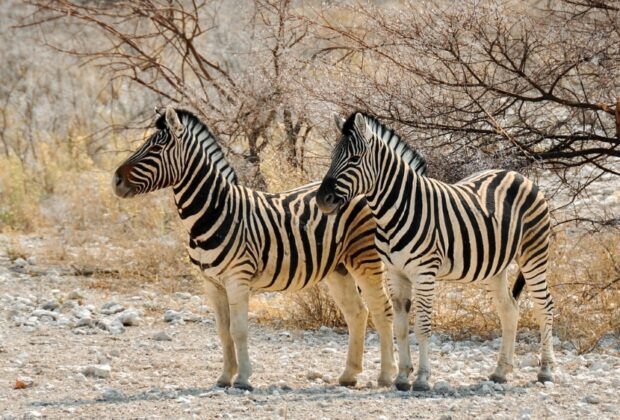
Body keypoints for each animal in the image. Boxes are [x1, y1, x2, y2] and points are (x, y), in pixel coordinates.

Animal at [112, 107, 398, 390]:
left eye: (155, 148)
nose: (115, 180)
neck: (214, 211)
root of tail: (368, 189)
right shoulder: (211, 283)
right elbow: (223, 331)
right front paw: (224, 377)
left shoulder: (237, 278)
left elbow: (238, 330)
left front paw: (243, 378)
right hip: (338, 268)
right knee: (357, 313)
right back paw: (349, 375)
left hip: (365, 259)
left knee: (382, 310)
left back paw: (387, 376)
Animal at [318, 110, 556, 390]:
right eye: (332, 157)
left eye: (354, 159)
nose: (322, 199)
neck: (397, 209)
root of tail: (516, 174)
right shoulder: (396, 273)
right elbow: (400, 326)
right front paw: (402, 377)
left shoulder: (424, 272)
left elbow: (422, 325)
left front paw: (421, 378)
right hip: (495, 266)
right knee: (509, 309)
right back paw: (501, 372)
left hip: (533, 253)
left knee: (544, 306)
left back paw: (546, 370)